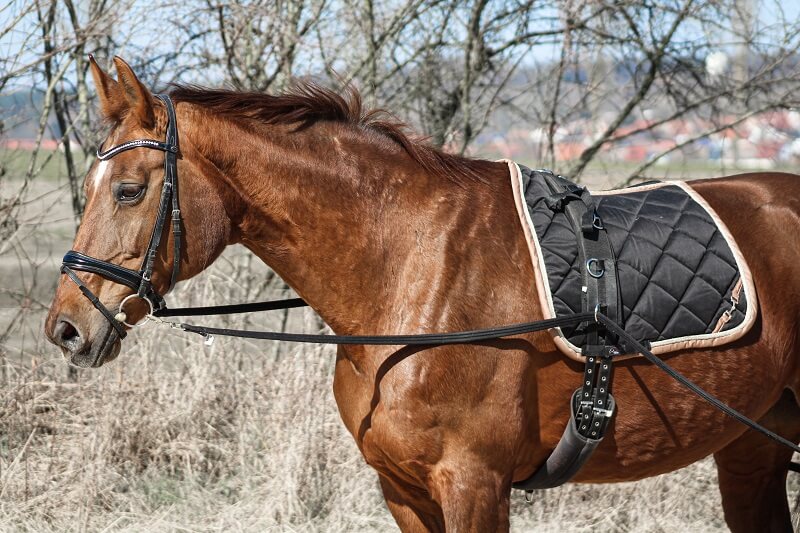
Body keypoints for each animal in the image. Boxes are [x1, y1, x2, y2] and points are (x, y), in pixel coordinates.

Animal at [47, 56, 800, 528]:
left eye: (129, 189)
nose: (67, 327)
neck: (411, 271)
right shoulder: (403, 490)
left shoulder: (475, 486)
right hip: (754, 446)